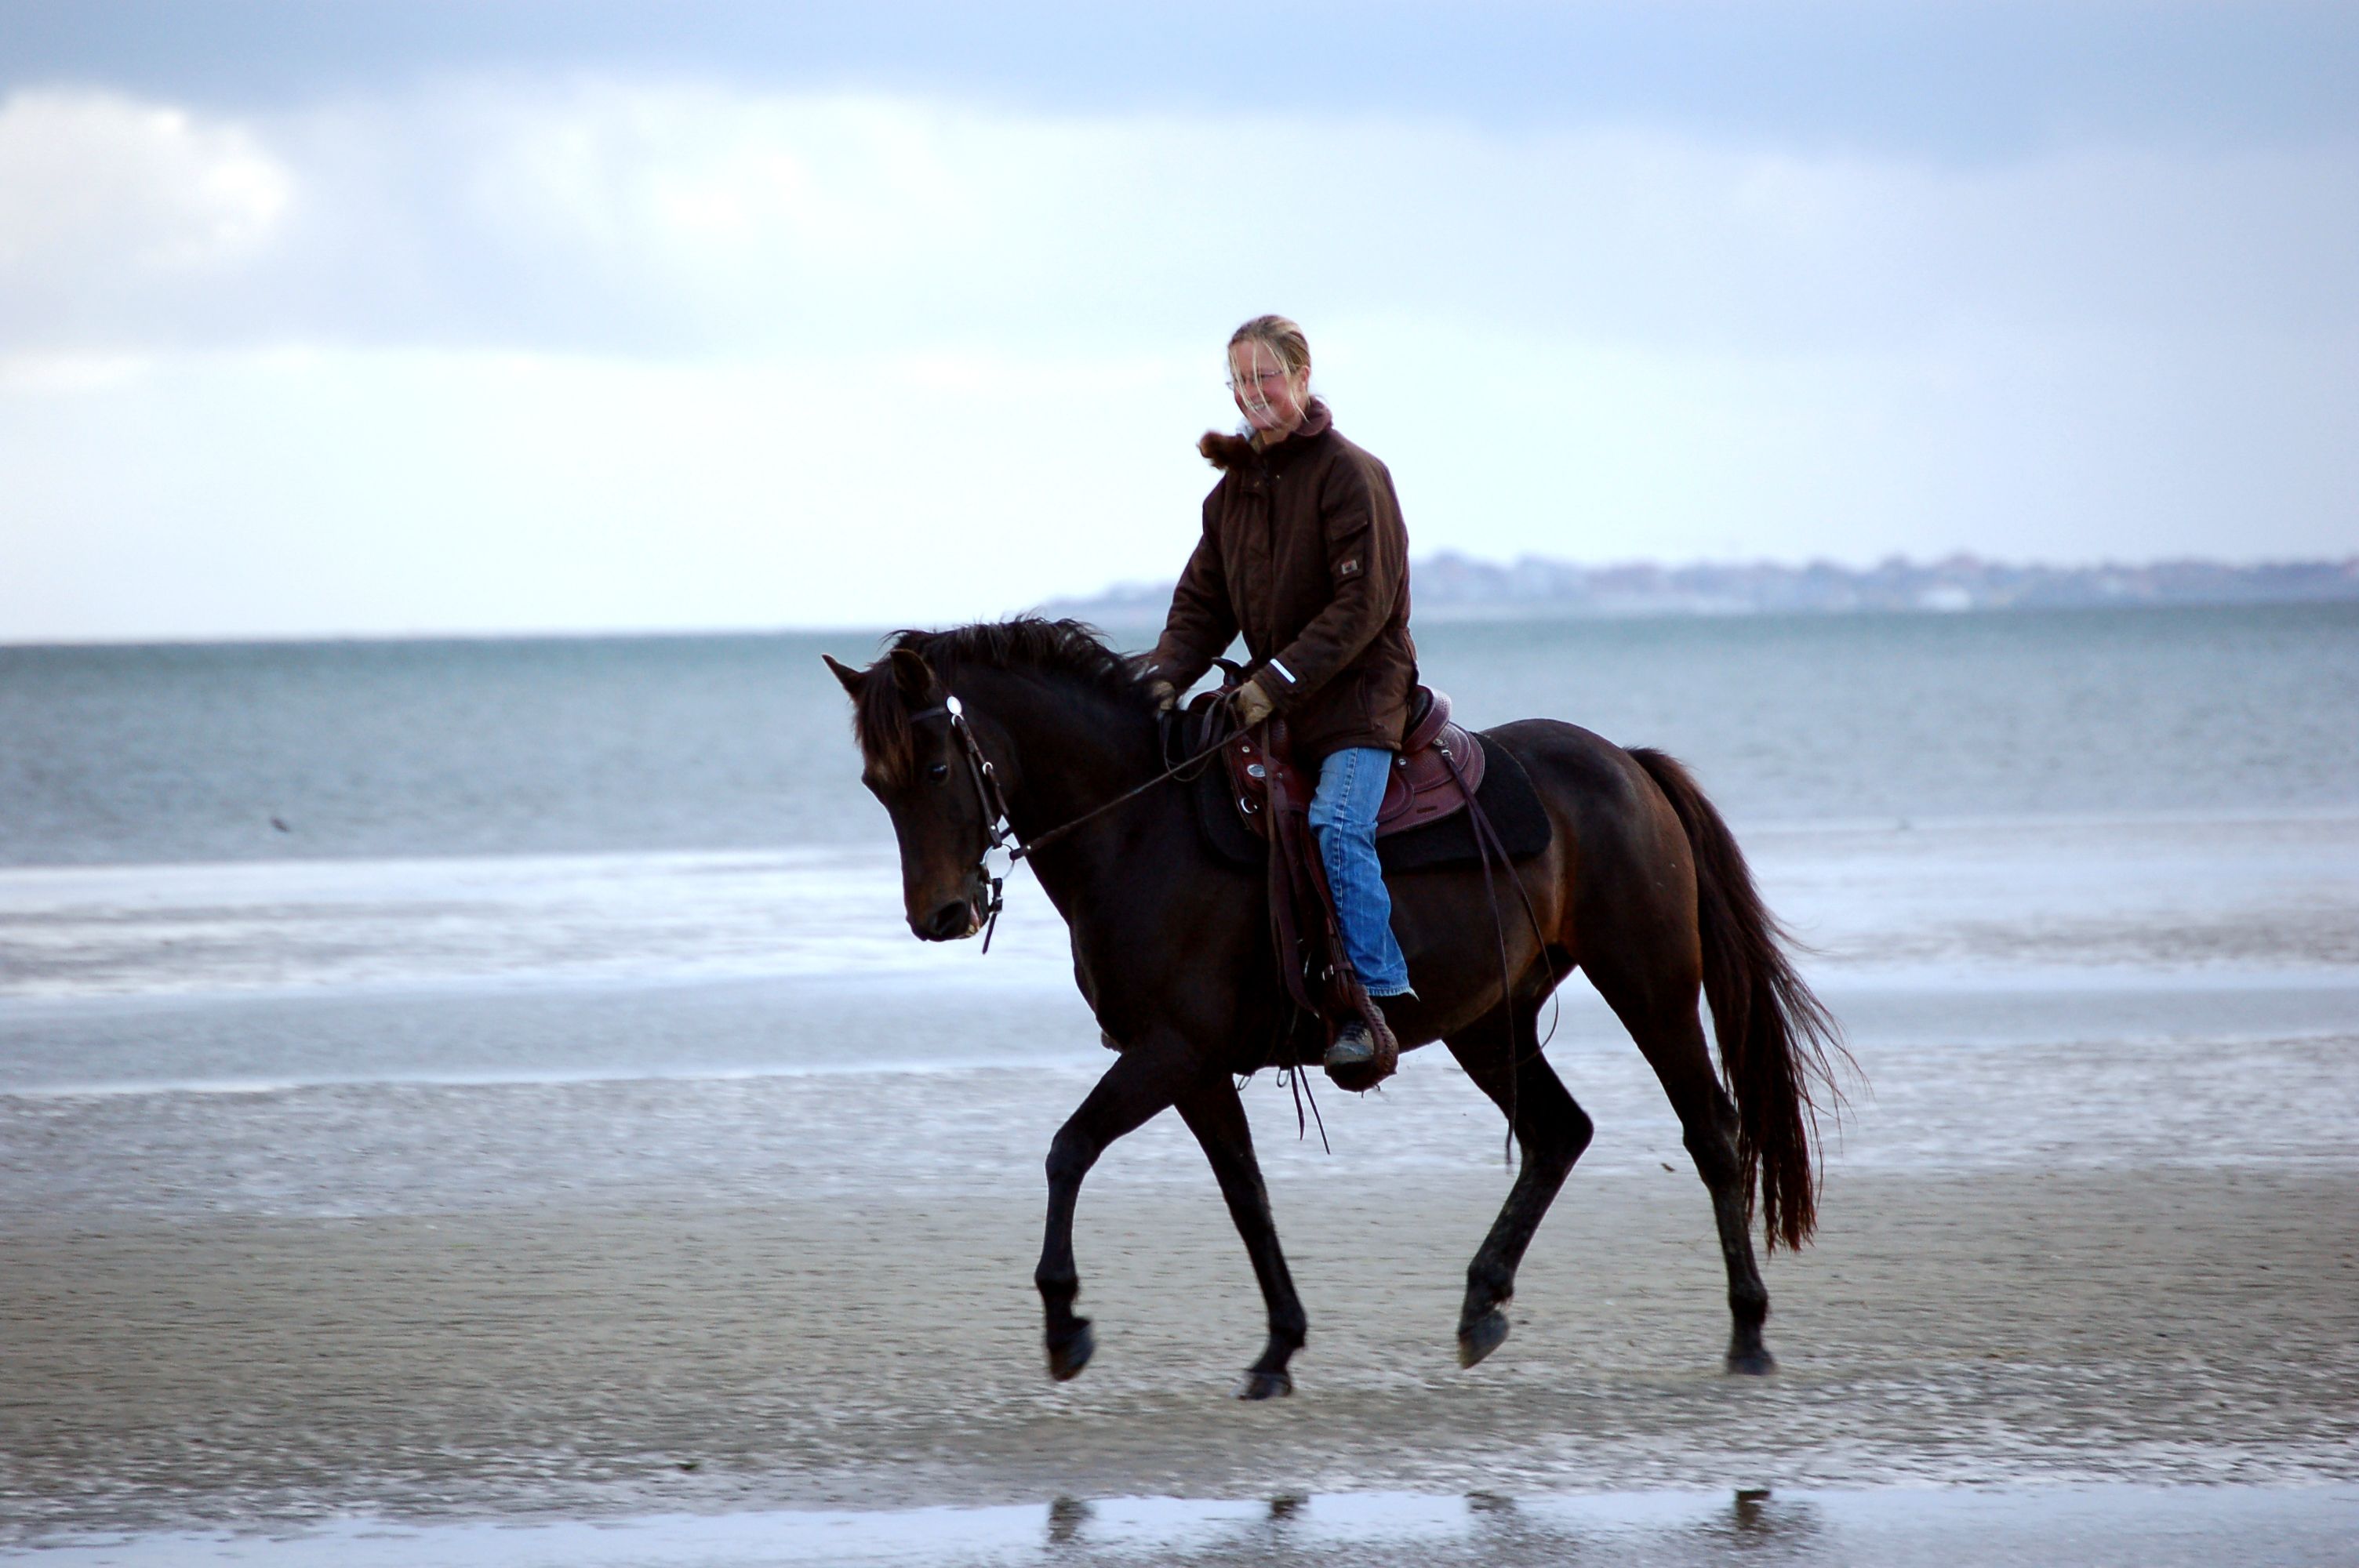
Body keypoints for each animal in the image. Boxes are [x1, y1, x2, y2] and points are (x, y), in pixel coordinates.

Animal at [824, 617, 1842, 1399]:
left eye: (937, 771)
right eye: (876, 783)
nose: (939, 915)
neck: (1138, 826)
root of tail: (1624, 764)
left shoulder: (1166, 1050)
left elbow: (1067, 1148)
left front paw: (1063, 1319)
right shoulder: (1192, 1066)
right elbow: (1246, 1195)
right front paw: (1277, 1344)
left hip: (1649, 982)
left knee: (1709, 1131)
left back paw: (1747, 1331)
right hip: (1487, 1020)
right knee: (1558, 1131)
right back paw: (1481, 1302)